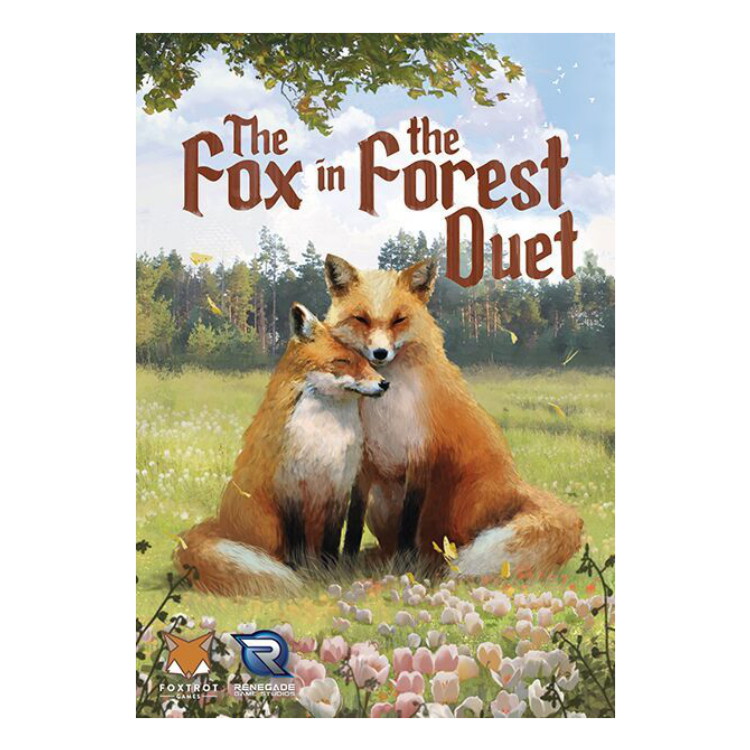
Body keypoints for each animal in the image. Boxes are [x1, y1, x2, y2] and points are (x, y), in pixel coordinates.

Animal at [174, 302, 389, 596]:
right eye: (342, 361)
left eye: (368, 361)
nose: (384, 383)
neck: (324, 438)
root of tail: (220, 524)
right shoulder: (290, 487)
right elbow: (295, 542)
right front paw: (301, 572)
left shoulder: (338, 487)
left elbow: (332, 540)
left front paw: (331, 571)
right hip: (269, 526)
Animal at [324, 254, 583, 577]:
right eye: (361, 319)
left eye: (399, 320)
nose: (380, 353)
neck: (385, 409)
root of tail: (517, 485)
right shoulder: (364, 463)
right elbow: (354, 522)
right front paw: (344, 563)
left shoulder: (421, 457)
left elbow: (409, 522)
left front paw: (404, 567)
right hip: (382, 503)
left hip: (462, 502)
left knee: (446, 545)